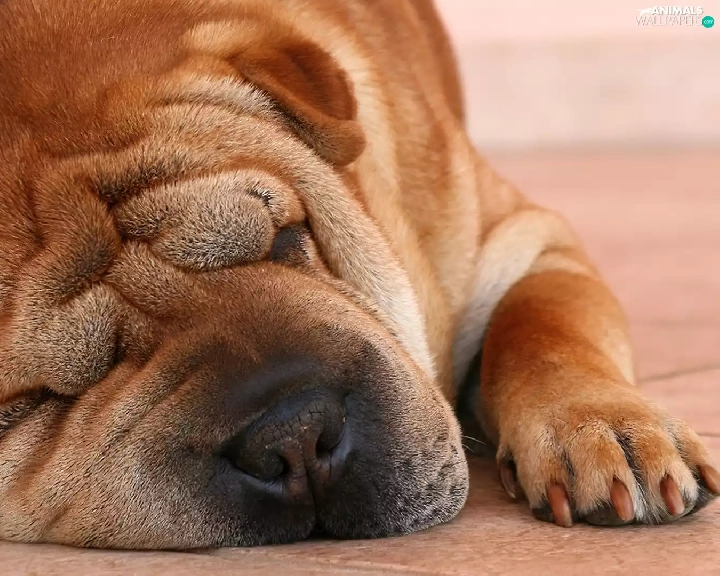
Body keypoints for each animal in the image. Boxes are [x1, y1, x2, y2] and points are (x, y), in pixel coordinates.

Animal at [0, 0, 717, 549]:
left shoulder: (520, 241)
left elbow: (542, 324)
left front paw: (603, 431)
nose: (292, 434)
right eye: (31, 401)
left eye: (286, 238)